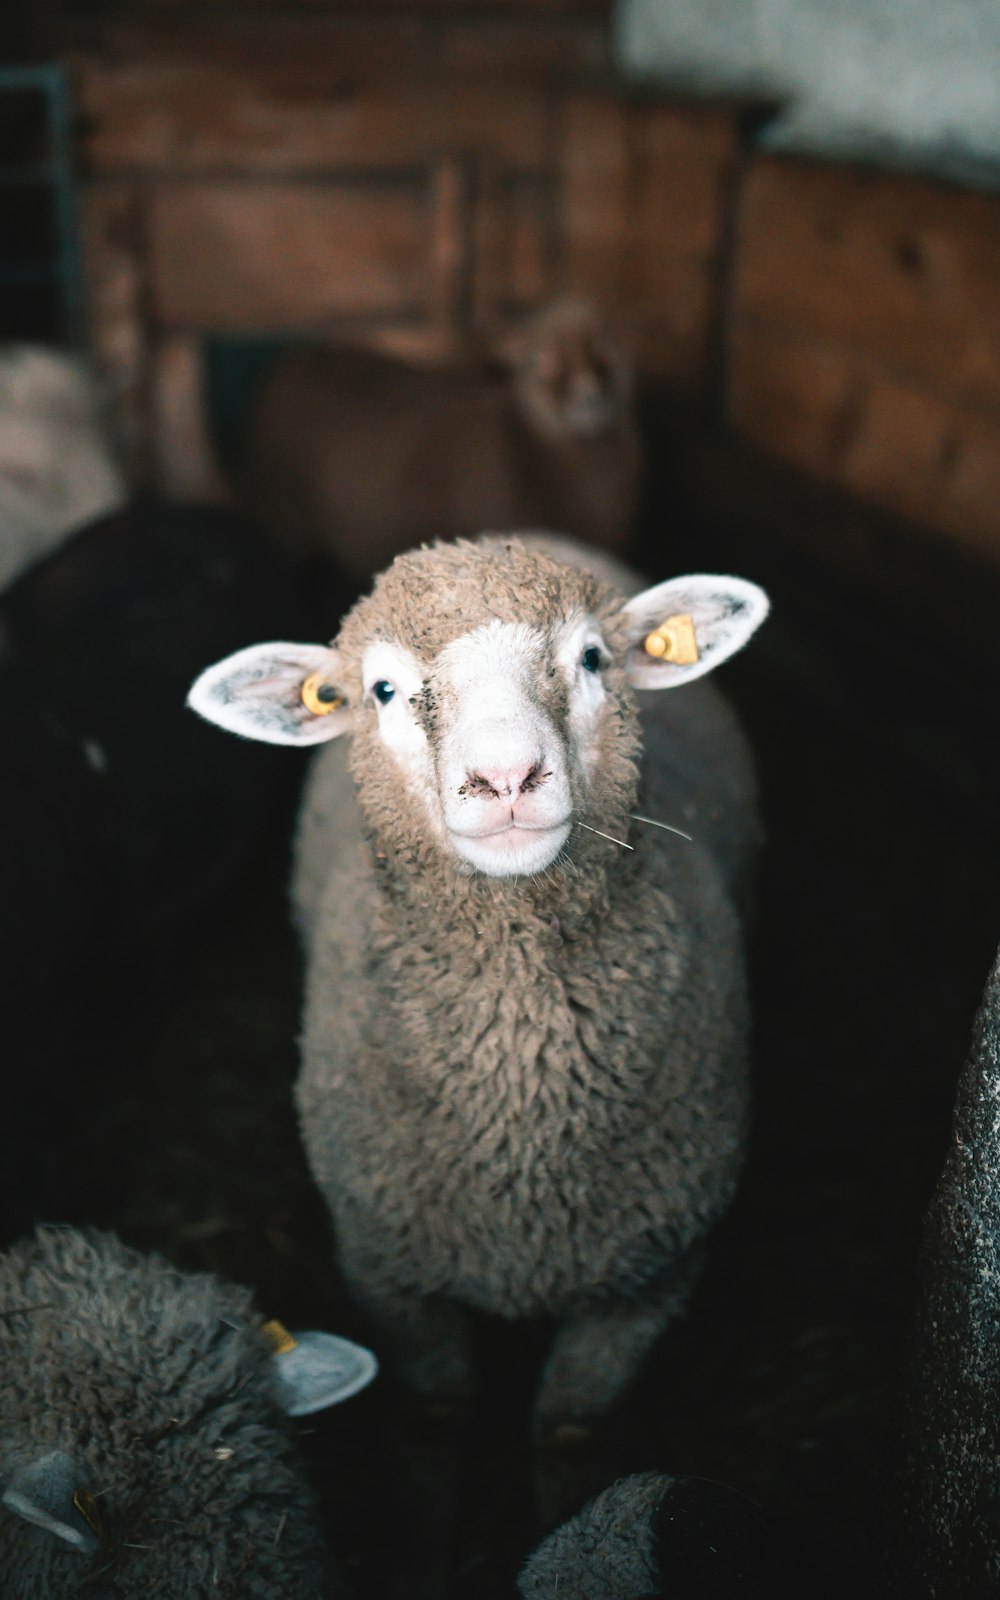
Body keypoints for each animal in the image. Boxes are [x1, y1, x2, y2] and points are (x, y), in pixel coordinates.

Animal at [185, 534, 764, 1484]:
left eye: (593, 658)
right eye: (379, 690)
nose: (506, 777)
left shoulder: (645, 1287)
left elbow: (569, 1433)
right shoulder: (391, 1278)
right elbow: (434, 1413)